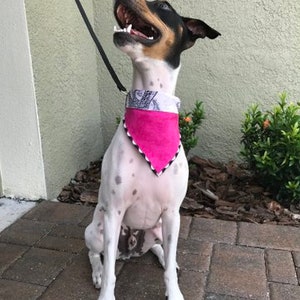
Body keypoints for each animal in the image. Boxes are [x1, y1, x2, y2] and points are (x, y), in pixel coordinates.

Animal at [84, 1, 220, 298]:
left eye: (164, 5)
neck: (150, 105)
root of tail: (131, 250)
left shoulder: (172, 214)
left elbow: (169, 267)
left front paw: (175, 291)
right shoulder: (114, 213)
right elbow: (110, 272)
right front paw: (106, 290)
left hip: (159, 228)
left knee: (161, 249)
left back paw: (166, 259)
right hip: (97, 230)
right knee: (95, 254)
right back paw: (97, 273)